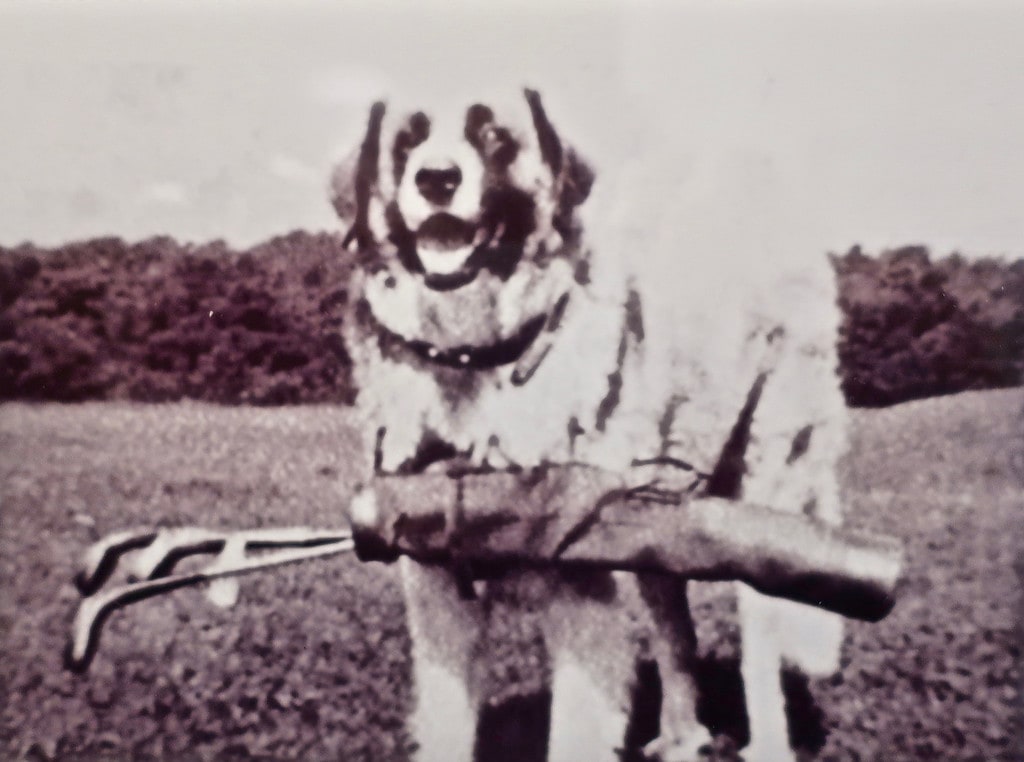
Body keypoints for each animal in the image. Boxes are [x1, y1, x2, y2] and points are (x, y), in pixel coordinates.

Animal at [329, 86, 847, 757]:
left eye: (492, 135)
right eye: (407, 140)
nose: (436, 178)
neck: (478, 357)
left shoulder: (583, 603)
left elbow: (573, 735)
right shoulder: (441, 604)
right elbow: (448, 730)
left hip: (768, 482)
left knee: (760, 643)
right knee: (676, 630)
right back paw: (680, 737)